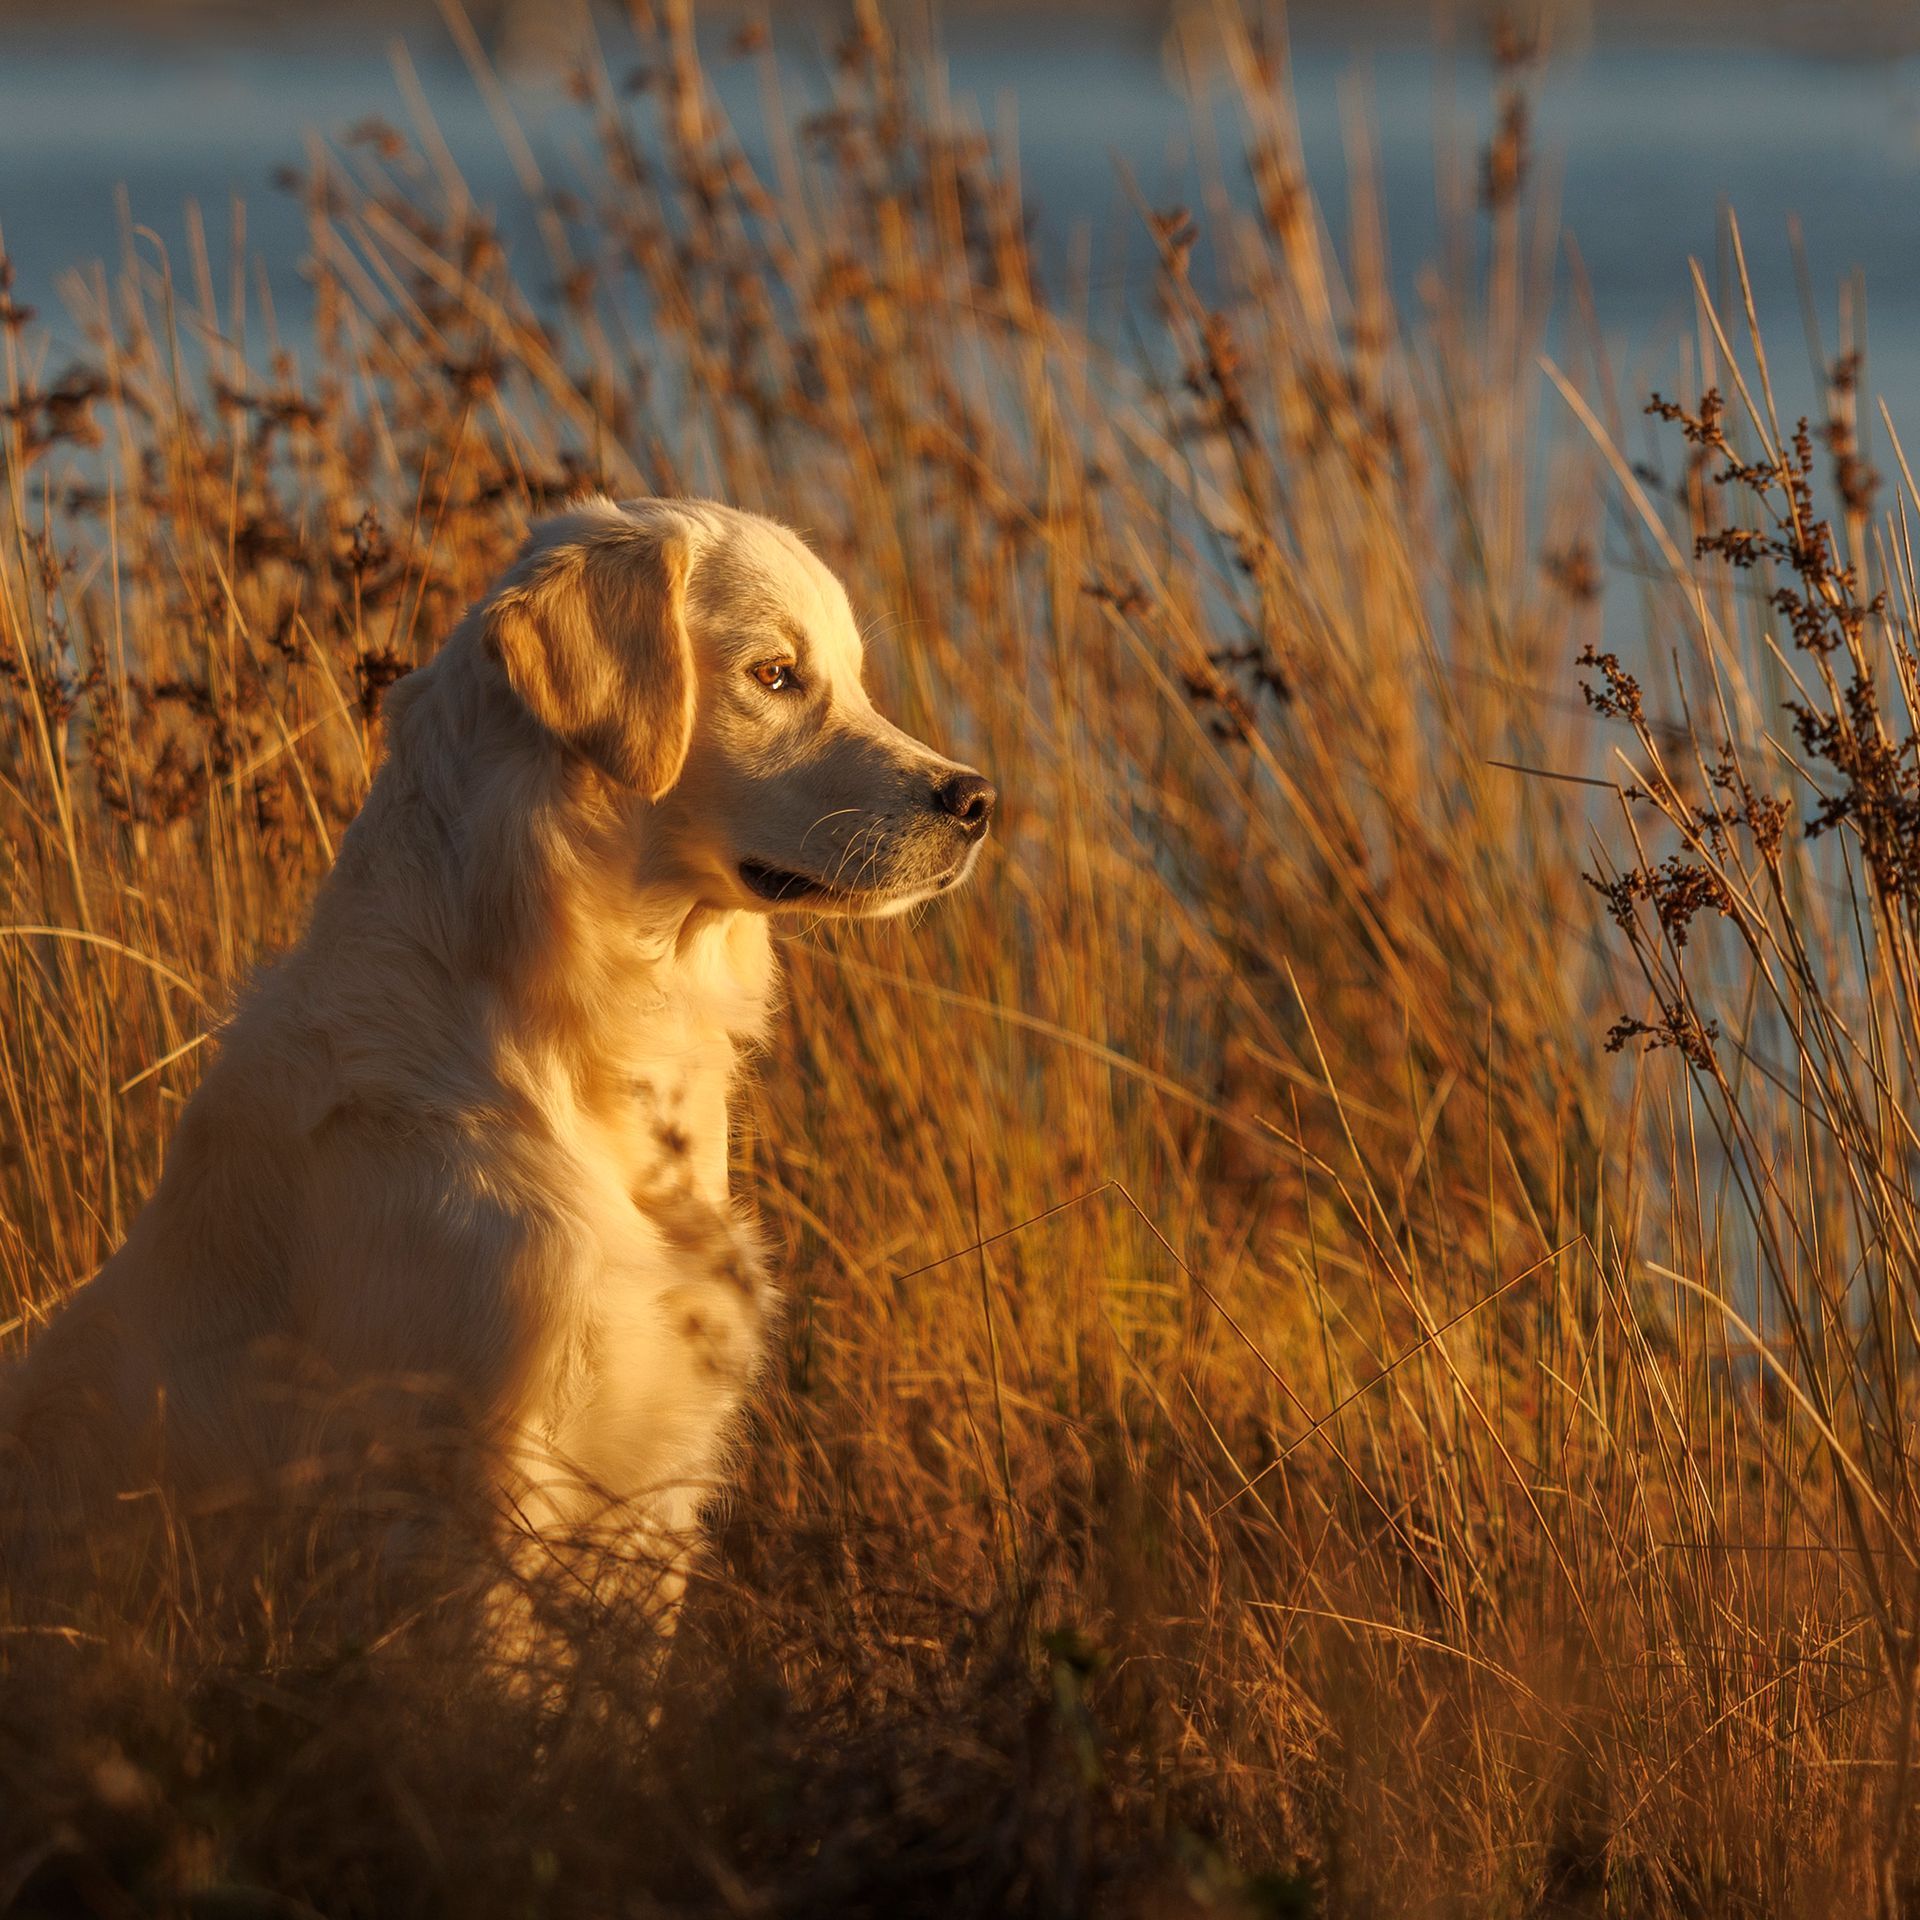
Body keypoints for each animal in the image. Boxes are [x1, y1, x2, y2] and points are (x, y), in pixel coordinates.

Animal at [0, 495, 990, 1620]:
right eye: (776, 675)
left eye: (853, 678)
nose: (976, 802)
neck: (571, 1034)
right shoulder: (460, 1495)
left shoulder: (654, 1486)